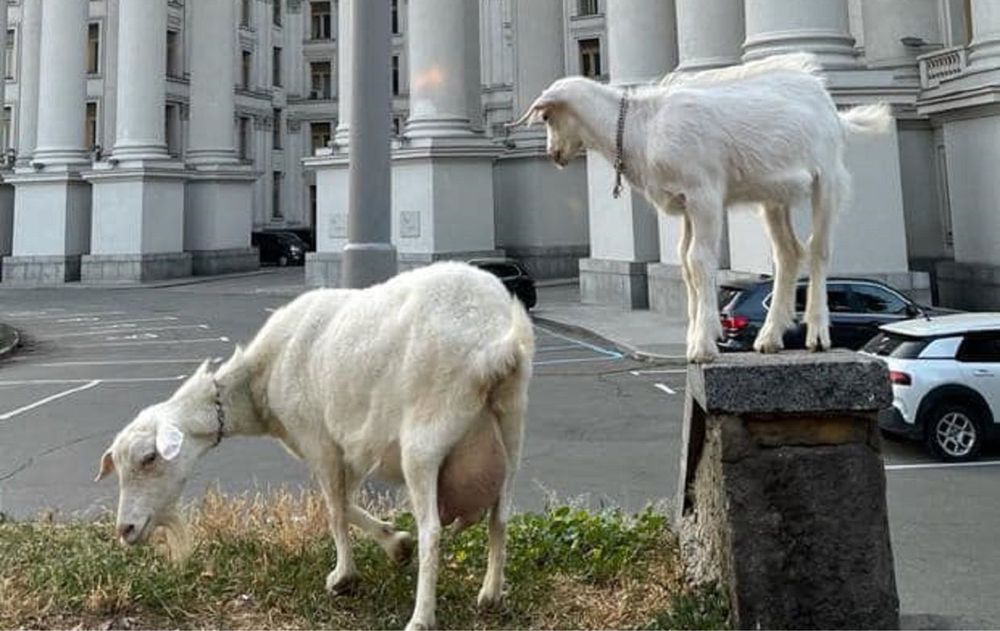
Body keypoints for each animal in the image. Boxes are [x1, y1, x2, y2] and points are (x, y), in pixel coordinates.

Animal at [95, 262, 535, 631]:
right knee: (500, 518)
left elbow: (335, 510)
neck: (259, 380)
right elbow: (347, 502)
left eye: (149, 458)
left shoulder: (319, 441)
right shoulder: (351, 448)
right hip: (511, 428)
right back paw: (491, 595)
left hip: (424, 440)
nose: (125, 530)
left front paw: (344, 577)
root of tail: (496, 347)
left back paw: (421, 617)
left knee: (433, 532)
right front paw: (395, 543)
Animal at [512, 53, 892, 363]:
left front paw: (703, 345)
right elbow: (684, 263)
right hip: (774, 197)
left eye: (547, 117)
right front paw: (697, 335)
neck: (643, 128)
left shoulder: (704, 194)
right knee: (788, 254)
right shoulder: (685, 204)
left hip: (826, 179)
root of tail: (833, 111)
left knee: (819, 250)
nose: (554, 154)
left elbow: (698, 259)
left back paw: (817, 335)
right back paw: (769, 339)